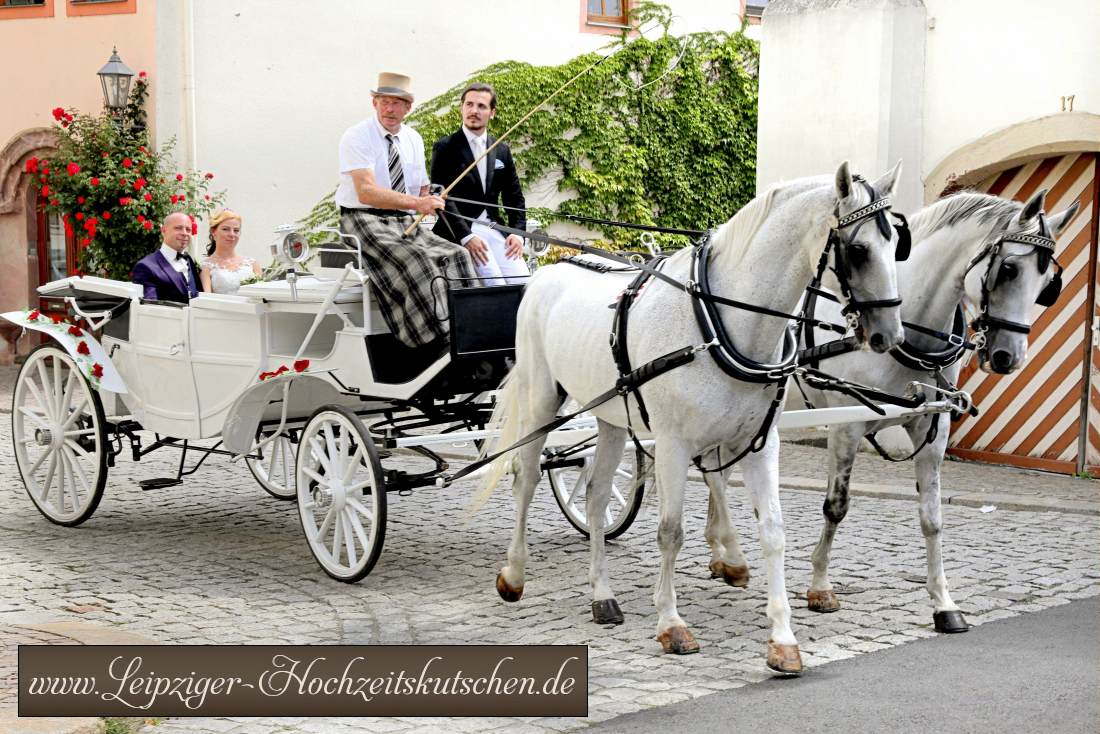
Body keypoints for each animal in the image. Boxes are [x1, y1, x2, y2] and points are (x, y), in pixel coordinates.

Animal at [477, 163, 906, 673]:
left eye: (896, 244)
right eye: (858, 249)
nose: (890, 336)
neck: (722, 322)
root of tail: (549, 269)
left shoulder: (761, 443)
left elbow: (773, 531)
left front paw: (783, 638)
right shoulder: (673, 444)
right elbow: (670, 531)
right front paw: (671, 623)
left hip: (610, 417)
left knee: (597, 497)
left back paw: (602, 595)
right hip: (541, 400)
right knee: (525, 478)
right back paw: (514, 575)